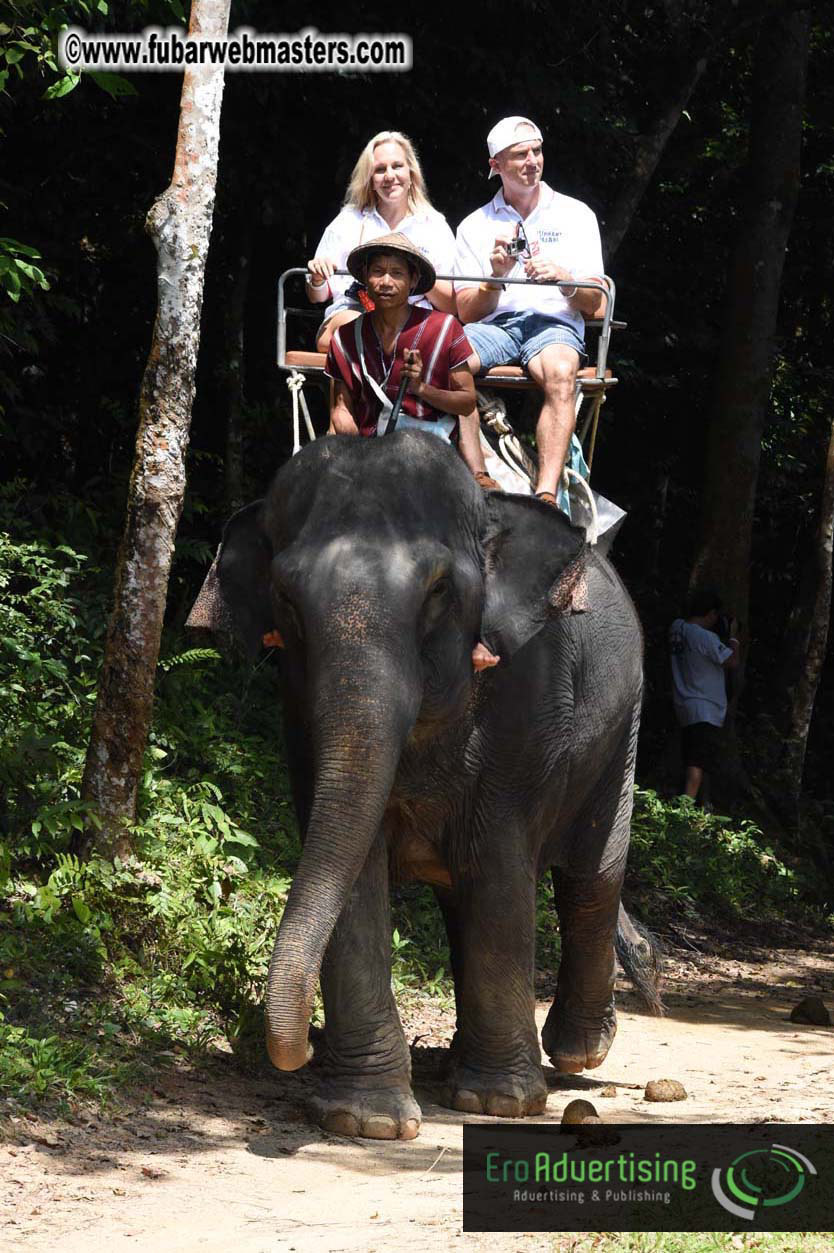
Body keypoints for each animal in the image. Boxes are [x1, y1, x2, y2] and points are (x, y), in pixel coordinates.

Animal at [202, 429, 660, 1141]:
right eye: (285, 596)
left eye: (439, 590)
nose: (296, 1050)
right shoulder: (299, 716)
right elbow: (352, 866)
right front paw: (366, 1119)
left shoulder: (526, 704)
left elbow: (499, 867)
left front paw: (501, 1104)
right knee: (462, 898)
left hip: (625, 722)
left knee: (589, 876)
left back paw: (577, 1053)